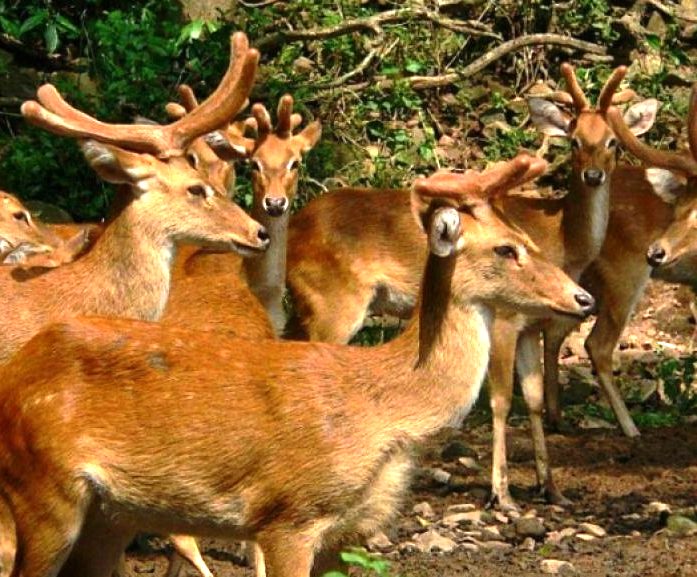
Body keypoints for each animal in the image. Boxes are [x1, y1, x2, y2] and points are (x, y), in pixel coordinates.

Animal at [0, 152, 596, 576]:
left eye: (526, 238)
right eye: (506, 249)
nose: (584, 299)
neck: (384, 407)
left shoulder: (347, 533)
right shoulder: (289, 514)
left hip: (110, 515)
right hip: (43, 488)